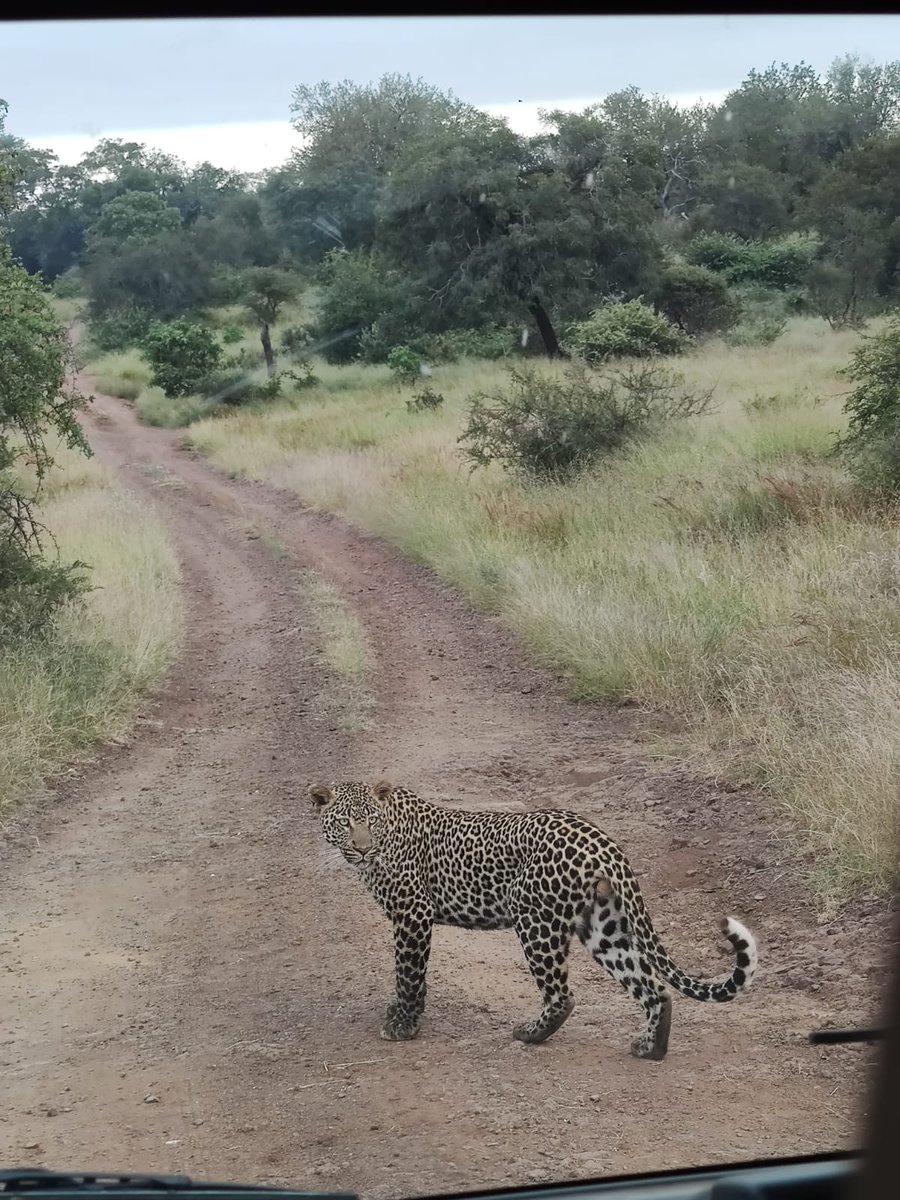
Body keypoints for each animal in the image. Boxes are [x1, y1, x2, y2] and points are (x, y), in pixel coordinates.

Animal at [308, 779, 758, 1060]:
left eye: (372, 821)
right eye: (345, 822)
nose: (363, 850)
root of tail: (604, 841)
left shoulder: (413, 913)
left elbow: (408, 973)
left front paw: (403, 1026)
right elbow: (413, 976)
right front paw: (405, 1016)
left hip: (534, 919)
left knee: (562, 994)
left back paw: (530, 1034)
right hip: (602, 926)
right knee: (653, 987)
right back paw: (651, 1049)